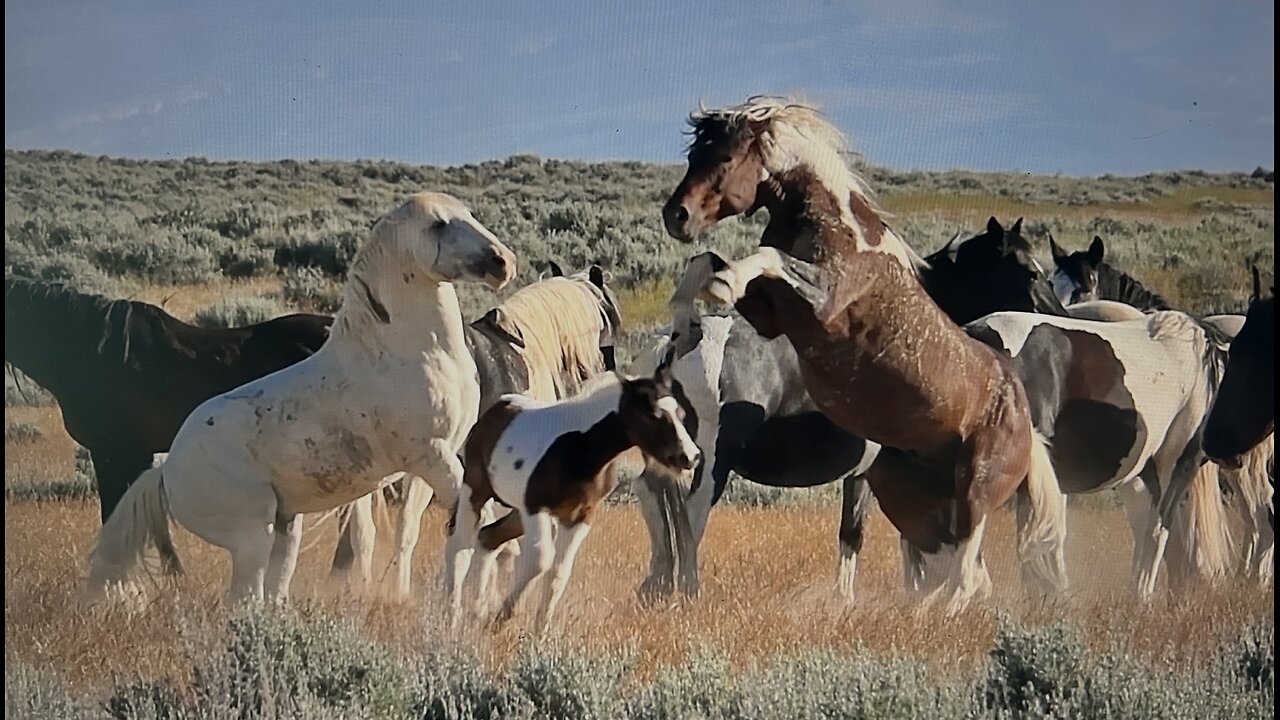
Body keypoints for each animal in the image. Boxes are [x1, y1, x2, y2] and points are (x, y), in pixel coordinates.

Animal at [86, 190, 519, 599]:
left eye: (469, 215)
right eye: (438, 225)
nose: (503, 263)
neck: (408, 353)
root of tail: (166, 472)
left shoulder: (440, 461)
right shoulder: (432, 457)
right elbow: (478, 525)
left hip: (286, 527)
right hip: (252, 535)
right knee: (245, 600)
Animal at [450, 358, 701, 627]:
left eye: (681, 414)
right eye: (652, 415)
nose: (690, 457)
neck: (581, 448)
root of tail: (499, 406)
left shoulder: (578, 517)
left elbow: (559, 574)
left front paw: (537, 631)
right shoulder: (535, 506)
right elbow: (541, 559)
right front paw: (501, 617)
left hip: (518, 512)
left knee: (488, 537)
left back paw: (477, 609)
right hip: (476, 490)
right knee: (461, 546)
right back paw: (452, 615)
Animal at [660, 98, 1070, 607]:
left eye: (726, 157)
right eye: (696, 154)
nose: (677, 216)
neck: (843, 231)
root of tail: (1020, 414)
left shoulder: (817, 303)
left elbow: (855, 536)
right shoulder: (776, 310)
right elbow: (716, 262)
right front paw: (694, 309)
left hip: (972, 491)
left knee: (965, 571)